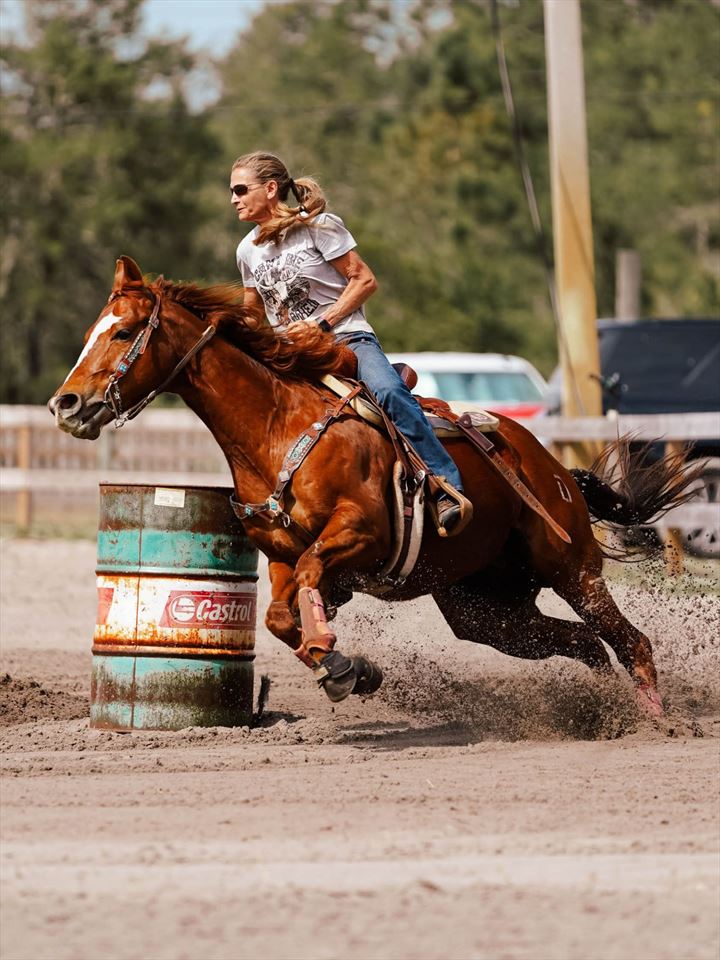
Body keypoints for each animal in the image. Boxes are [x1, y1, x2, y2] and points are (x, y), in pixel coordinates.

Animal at [49, 256, 698, 716]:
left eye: (124, 332)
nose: (65, 404)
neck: (277, 429)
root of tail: (553, 466)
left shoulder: (360, 534)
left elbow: (313, 576)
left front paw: (338, 665)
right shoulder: (280, 557)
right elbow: (280, 617)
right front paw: (347, 668)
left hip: (570, 567)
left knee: (630, 642)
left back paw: (654, 722)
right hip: (487, 609)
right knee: (585, 645)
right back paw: (602, 712)